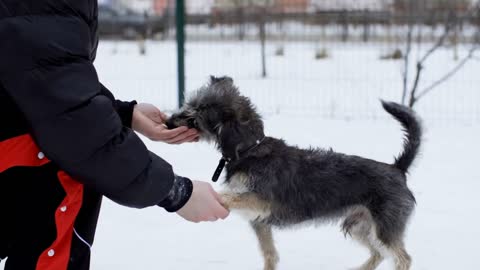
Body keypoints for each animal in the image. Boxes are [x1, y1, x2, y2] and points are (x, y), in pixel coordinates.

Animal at [167, 76, 422, 270]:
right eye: (188, 105)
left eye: (194, 116)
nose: (168, 122)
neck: (250, 150)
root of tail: (397, 168)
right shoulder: (260, 222)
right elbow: (270, 254)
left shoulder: (261, 201)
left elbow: (227, 196)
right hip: (360, 225)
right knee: (379, 253)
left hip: (384, 227)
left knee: (403, 258)